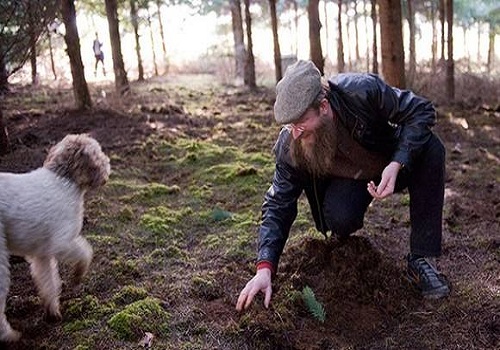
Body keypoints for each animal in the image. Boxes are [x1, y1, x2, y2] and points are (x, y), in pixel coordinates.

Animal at [0, 133, 110, 340]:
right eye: (98, 152)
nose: (108, 165)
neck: (65, 180)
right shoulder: (60, 243)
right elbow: (86, 252)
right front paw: (77, 275)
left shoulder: (42, 255)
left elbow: (49, 284)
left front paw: (53, 313)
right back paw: (11, 335)